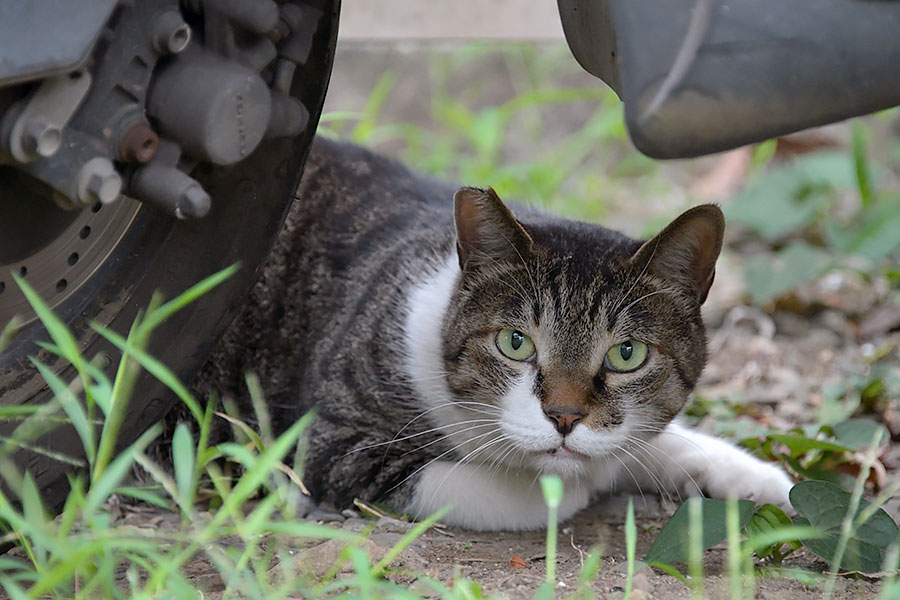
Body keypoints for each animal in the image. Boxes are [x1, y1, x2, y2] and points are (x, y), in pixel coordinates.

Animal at [199, 136, 796, 528]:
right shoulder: (329, 443)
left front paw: (773, 483)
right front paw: (587, 483)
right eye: (516, 343)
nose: (565, 417)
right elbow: (528, 493)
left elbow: (666, 441)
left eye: (627, 354)